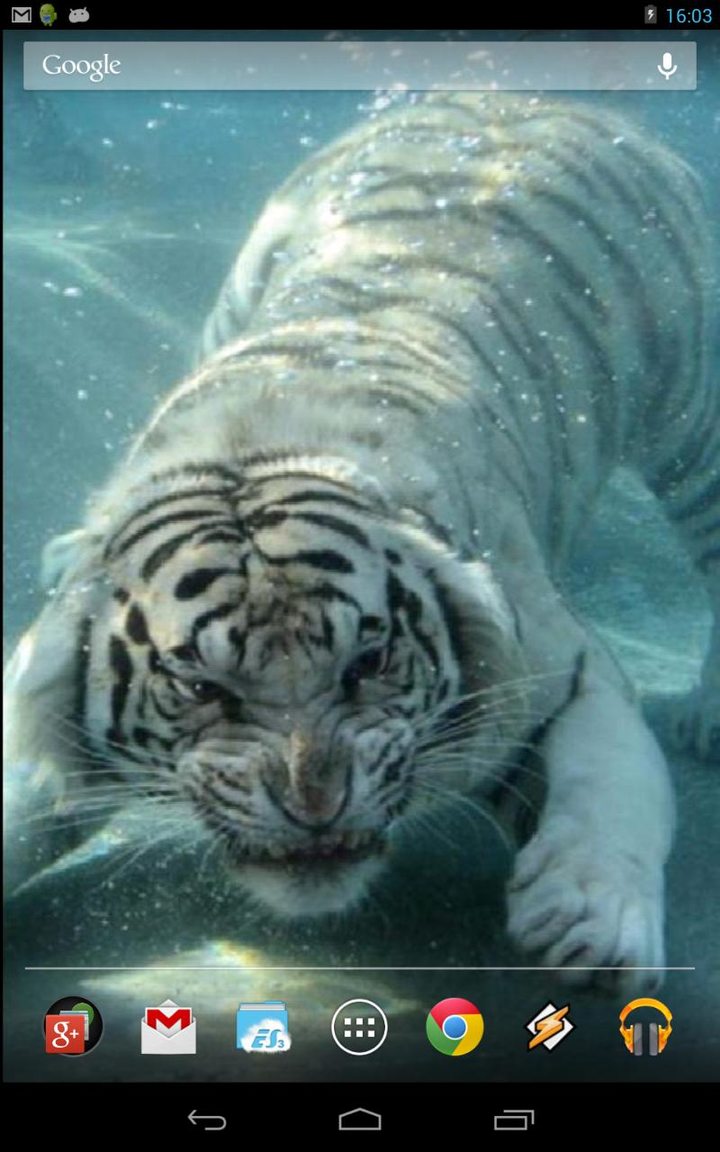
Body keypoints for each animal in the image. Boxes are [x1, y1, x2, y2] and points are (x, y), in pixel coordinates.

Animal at [5, 94, 718, 993]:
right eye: (202, 688)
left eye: (368, 665)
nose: (314, 808)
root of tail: (528, 97)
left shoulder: (567, 673)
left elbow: (611, 790)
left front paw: (592, 923)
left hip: (692, 415)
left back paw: (707, 715)